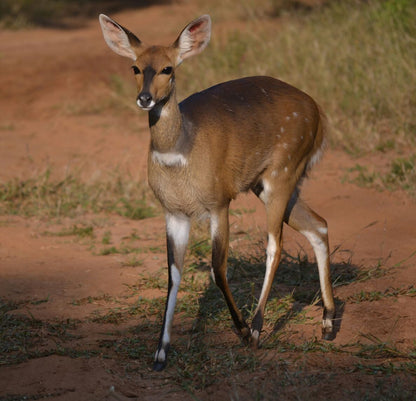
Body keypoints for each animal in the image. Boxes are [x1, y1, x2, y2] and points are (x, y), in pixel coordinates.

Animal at [100, 12, 334, 370]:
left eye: (168, 68)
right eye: (135, 67)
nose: (145, 99)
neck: (180, 152)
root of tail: (318, 113)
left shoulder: (219, 203)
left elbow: (218, 268)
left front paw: (241, 330)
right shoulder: (173, 213)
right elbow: (174, 274)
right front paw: (160, 354)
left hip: (282, 175)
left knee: (275, 245)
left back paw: (256, 330)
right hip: (267, 184)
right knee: (319, 225)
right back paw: (328, 323)